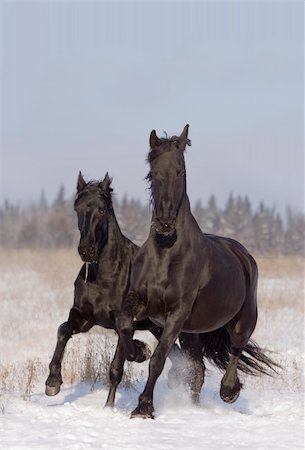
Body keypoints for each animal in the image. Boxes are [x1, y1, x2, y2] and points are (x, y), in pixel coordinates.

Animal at [45, 171, 180, 406]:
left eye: (102, 209)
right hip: (157, 327)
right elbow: (63, 329)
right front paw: (53, 382)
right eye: (77, 208)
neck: (105, 277)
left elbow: (117, 367)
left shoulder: (122, 323)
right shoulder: (85, 317)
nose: (86, 250)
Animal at [116, 124, 278, 418]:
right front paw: (137, 351)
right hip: (192, 332)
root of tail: (243, 254)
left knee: (236, 349)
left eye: (181, 172)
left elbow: (158, 359)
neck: (166, 253)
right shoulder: (141, 303)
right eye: (153, 173)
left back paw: (229, 391)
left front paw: (143, 407)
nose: (165, 222)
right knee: (199, 369)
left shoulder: (177, 313)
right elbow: (124, 326)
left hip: (243, 319)